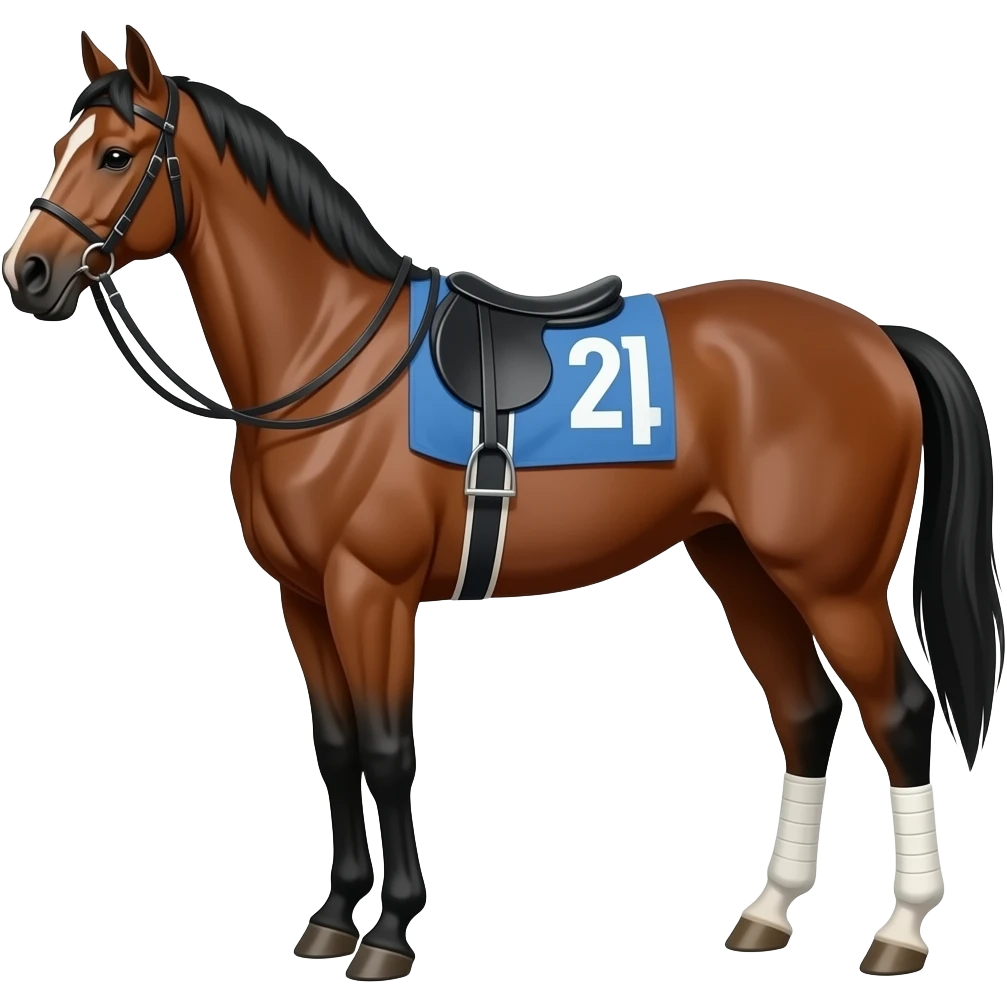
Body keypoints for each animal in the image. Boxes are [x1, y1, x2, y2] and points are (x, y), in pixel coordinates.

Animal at [3, 26, 1002, 983]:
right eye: (60, 145)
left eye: (117, 155)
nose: (30, 275)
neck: (332, 355)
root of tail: (876, 337)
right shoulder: (304, 597)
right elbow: (334, 748)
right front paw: (332, 915)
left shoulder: (371, 591)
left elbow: (385, 748)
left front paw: (389, 932)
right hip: (741, 564)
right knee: (804, 712)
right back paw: (767, 912)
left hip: (833, 583)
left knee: (897, 712)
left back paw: (900, 930)